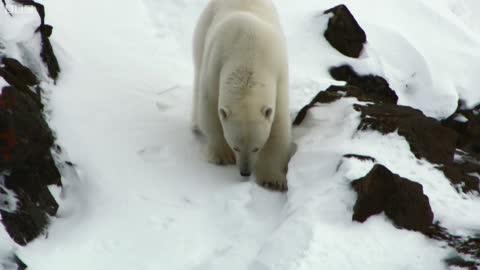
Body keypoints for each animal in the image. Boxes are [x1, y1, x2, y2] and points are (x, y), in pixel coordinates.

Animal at [191, 0, 292, 192]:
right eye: (236, 147)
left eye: (256, 148)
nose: (245, 172)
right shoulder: (215, 65)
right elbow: (209, 107)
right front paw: (222, 155)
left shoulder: (279, 76)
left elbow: (278, 126)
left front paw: (273, 180)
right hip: (202, 32)